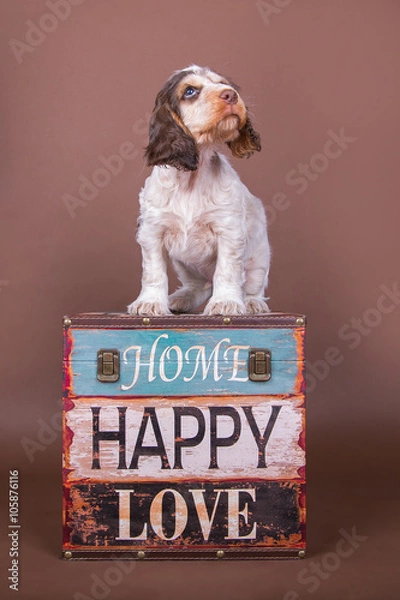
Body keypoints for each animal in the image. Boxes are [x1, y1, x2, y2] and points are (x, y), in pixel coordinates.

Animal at [128, 64, 270, 318]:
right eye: (190, 91)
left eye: (225, 84)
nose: (231, 95)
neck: (191, 177)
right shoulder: (152, 231)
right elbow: (153, 272)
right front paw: (150, 303)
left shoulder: (229, 230)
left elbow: (227, 270)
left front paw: (225, 302)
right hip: (185, 265)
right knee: (199, 287)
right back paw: (180, 298)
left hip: (260, 258)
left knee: (251, 285)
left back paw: (253, 303)